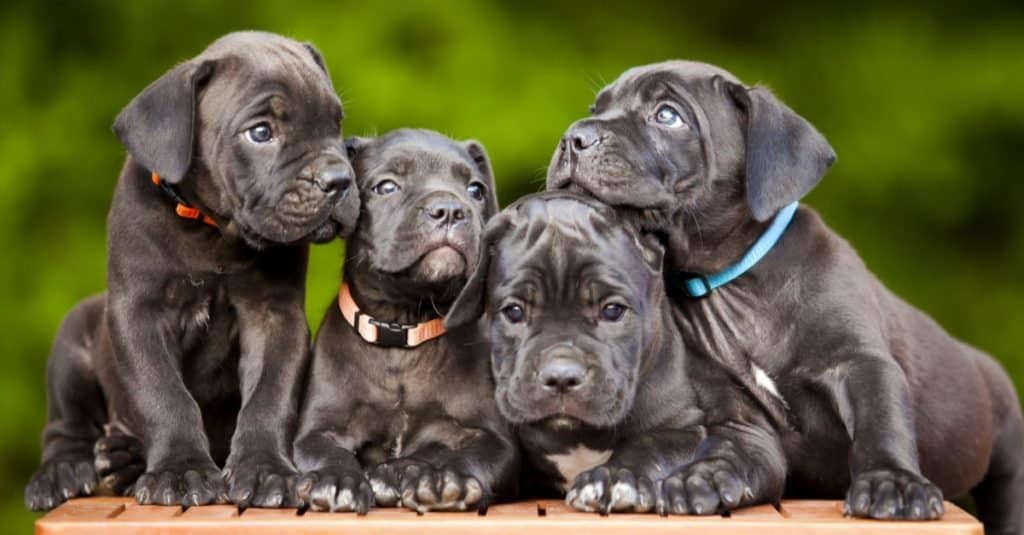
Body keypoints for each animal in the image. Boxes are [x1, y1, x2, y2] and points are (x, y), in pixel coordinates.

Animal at [24, 31, 360, 510]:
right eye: (261, 132)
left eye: (335, 123)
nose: (339, 179)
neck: (212, 230)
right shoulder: (140, 315)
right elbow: (166, 396)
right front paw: (180, 470)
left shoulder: (274, 317)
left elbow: (269, 397)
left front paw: (265, 470)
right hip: (73, 339)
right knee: (63, 426)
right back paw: (64, 472)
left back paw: (123, 459)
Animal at [294, 129, 520, 512]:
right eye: (386, 186)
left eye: (476, 190)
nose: (450, 209)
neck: (403, 328)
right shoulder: (315, 431)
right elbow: (327, 452)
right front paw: (338, 480)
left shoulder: (494, 439)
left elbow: (457, 453)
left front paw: (440, 477)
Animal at [446, 190, 782, 512]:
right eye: (514, 312)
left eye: (612, 310)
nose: (561, 377)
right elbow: (485, 451)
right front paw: (450, 476)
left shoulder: (684, 427)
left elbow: (649, 445)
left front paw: (615, 478)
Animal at [552, 59, 1024, 528]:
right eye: (596, 108)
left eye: (667, 115)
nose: (574, 137)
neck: (733, 288)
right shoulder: (737, 416)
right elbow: (738, 454)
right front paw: (702, 479)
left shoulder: (860, 363)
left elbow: (882, 421)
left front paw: (892, 482)